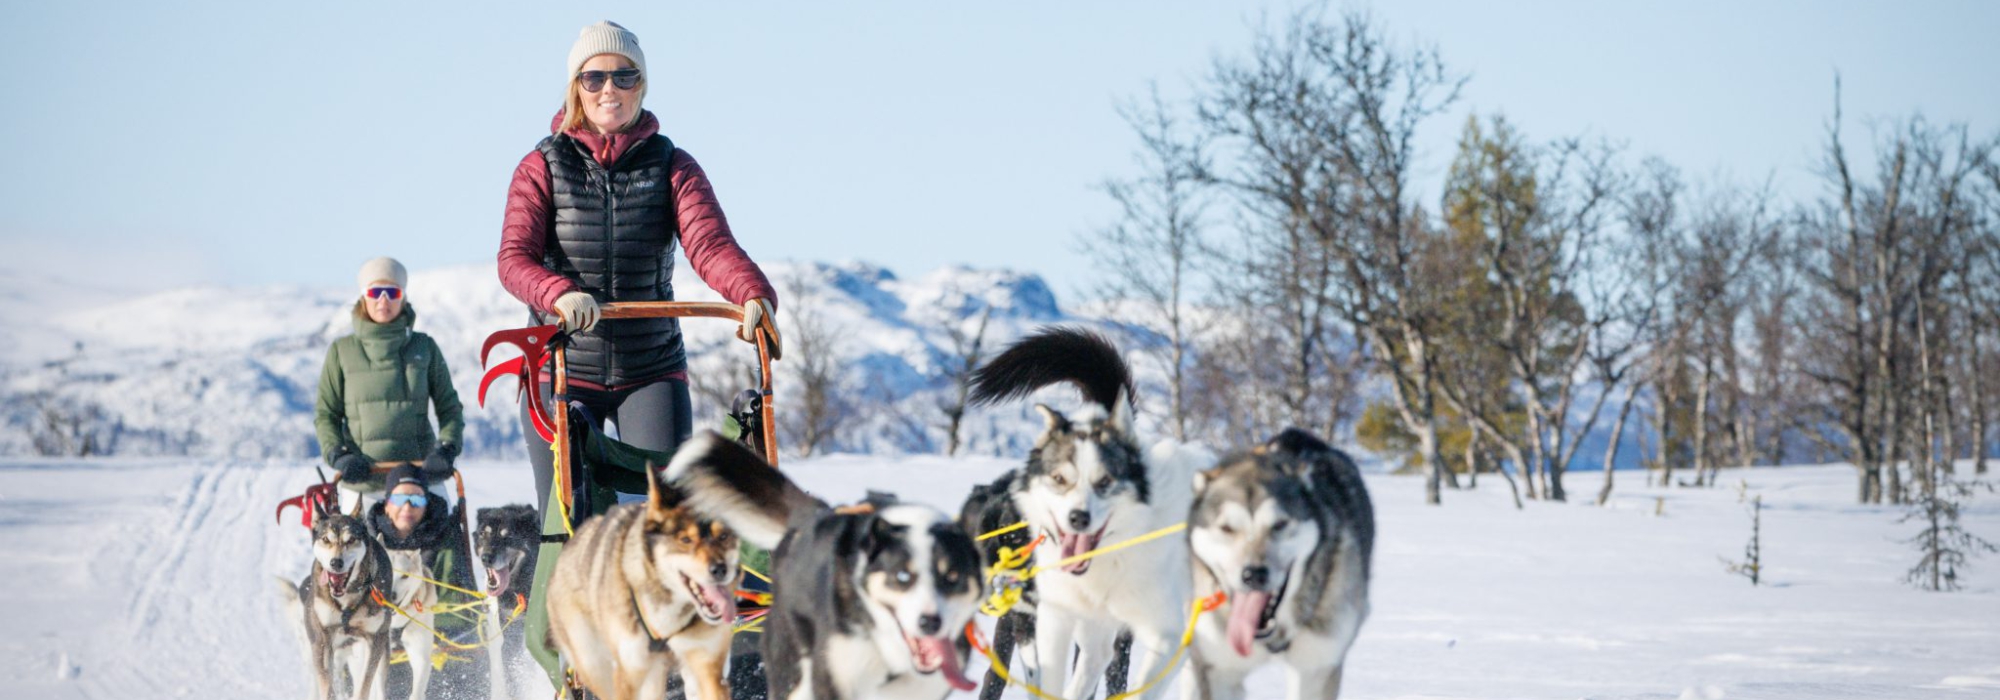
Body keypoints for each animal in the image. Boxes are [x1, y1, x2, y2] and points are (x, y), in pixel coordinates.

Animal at [540, 462, 744, 696]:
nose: (720, 569)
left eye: (724, 536)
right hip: (599, 666)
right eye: (685, 539)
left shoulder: (707, 663)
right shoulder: (629, 672)